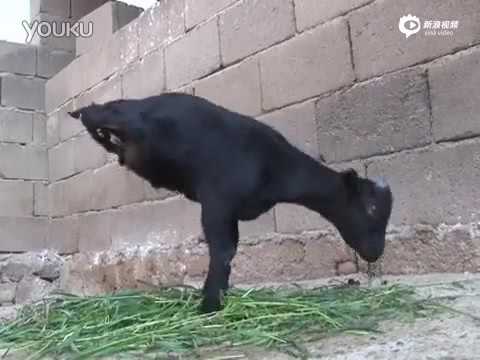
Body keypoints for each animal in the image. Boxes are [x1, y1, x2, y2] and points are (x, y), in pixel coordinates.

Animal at [70, 92, 394, 312]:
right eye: (371, 207)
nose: (376, 252)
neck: (275, 168)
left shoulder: (231, 212)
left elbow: (229, 251)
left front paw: (216, 299)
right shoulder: (217, 202)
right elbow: (223, 250)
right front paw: (208, 306)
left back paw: (106, 137)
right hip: (126, 118)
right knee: (101, 112)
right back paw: (86, 116)